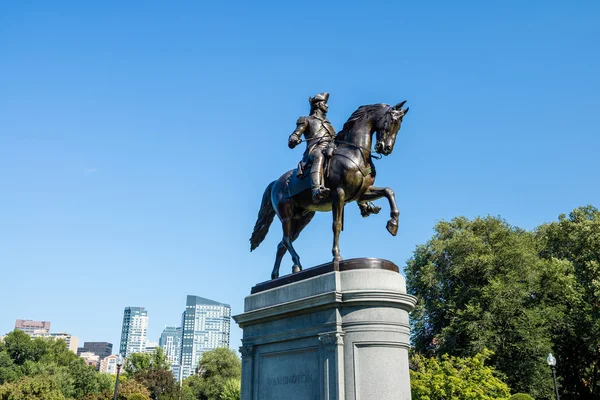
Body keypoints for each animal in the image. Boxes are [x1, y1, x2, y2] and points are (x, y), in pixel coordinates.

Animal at [248, 101, 408, 280]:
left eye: (399, 125)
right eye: (392, 121)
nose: (386, 148)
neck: (355, 153)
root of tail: (276, 182)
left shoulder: (362, 192)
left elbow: (389, 191)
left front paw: (393, 224)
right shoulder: (339, 194)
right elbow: (336, 225)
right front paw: (336, 256)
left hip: (303, 217)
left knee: (282, 244)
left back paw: (278, 274)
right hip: (286, 215)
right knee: (286, 239)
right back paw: (297, 263)